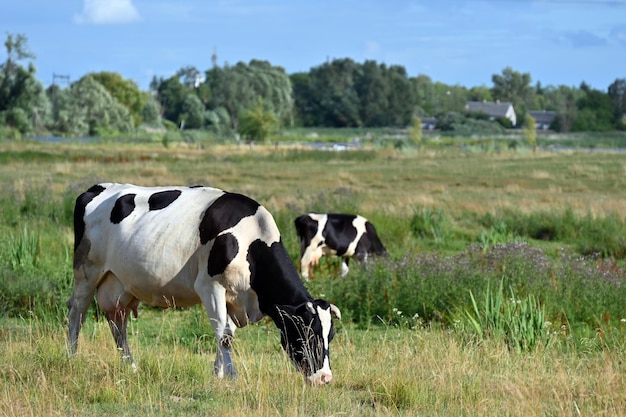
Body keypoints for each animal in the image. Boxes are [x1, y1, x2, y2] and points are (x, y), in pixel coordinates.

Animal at [67, 184, 338, 386]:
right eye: (307, 333)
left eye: (331, 336)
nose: (325, 378)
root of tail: (96, 187)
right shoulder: (210, 287)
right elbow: (224, 335)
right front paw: (232, 377)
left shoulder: (233, 298)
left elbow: (226, 332)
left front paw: (218, 374)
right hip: (86, 272)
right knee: (77, 312)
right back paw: (72, 356)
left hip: (119, 285)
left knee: (117, 323)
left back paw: (131, 367)